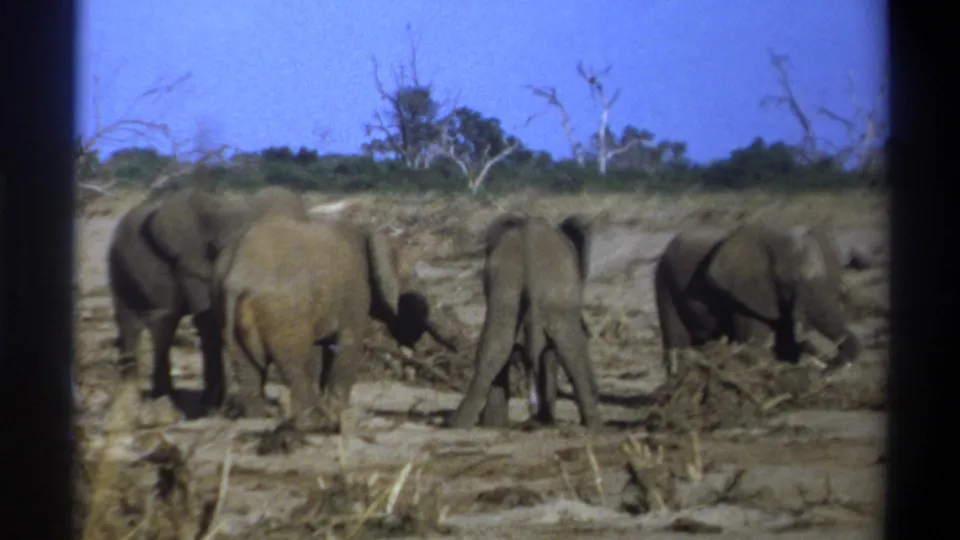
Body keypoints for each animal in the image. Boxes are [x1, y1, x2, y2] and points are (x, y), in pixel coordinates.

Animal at [106, 186, 309, 412]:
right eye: (223, 248)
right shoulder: (188, 261)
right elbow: (209, 321)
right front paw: (213, 404)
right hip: (117, 262)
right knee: (135, 322)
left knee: (158, 325)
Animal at [215, 214, 458, 428]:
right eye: (413, 283)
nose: (455, 347)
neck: (368, 232)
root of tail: (238, 278)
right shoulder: (355, 293)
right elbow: (348, 344)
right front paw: (339, 410)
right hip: (284, 312)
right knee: (294, 364)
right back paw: (314, 421)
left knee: (248, 370)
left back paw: (258, 419)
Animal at [444, 213, 602, 430]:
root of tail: (528, 246)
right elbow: (550, 351)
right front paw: (545, 419)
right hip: (555, 288)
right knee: (569, 345)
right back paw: (595, 424)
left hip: (505, 283)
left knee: (496, 342)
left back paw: (467, 423)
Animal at [653, 221, 862, 377]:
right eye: (788, 283)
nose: (827, 371)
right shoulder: (743, 294)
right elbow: (754, 344)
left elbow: (784, 343)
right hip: (663, 280)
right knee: (677, 338)